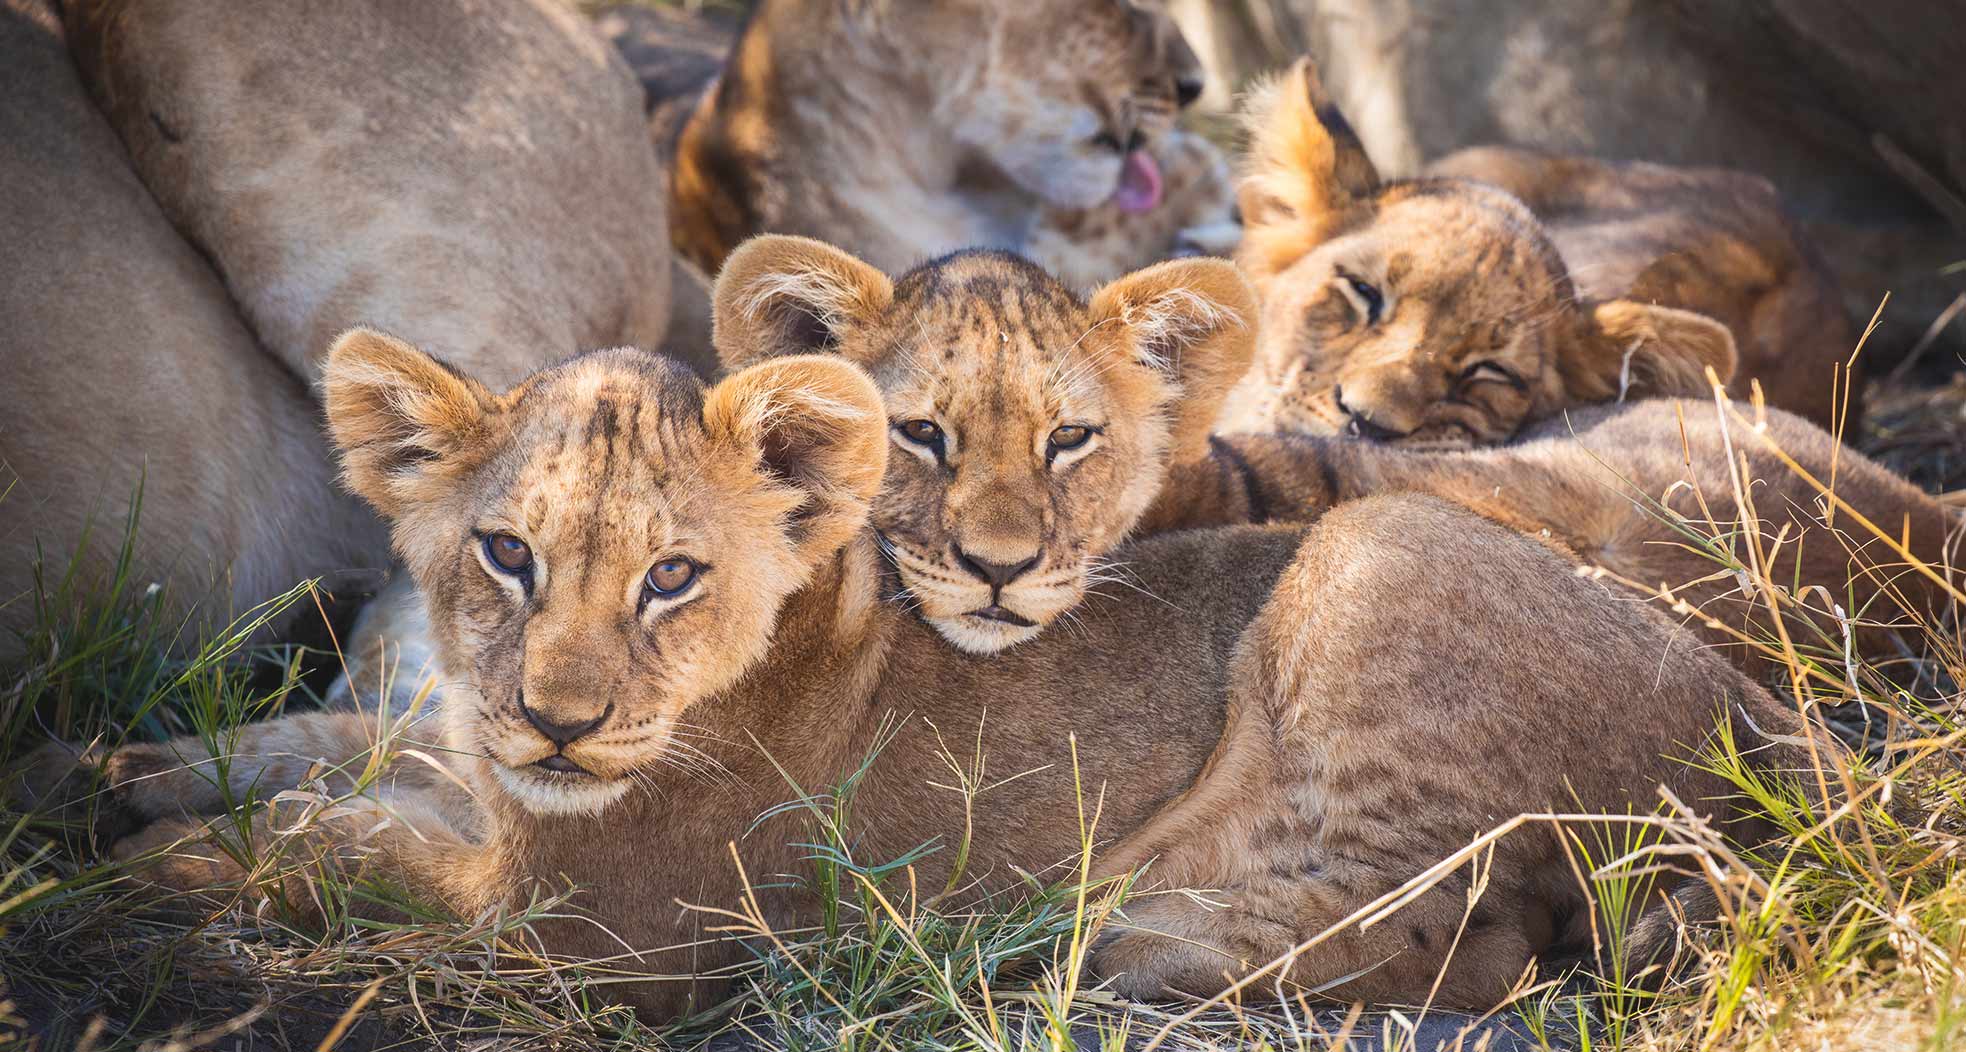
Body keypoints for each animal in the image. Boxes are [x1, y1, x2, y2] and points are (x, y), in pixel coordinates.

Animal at [64, 328, 1827, 1022]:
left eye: (672, 577)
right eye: (504, 556)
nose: (561, 723)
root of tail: (1765, 722)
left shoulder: (597, 939)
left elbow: (350, 857)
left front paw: (174, 867)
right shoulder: (479, 766)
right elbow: (354, 752)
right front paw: (138, 771)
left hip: (1371, 545)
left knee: (1451, 939)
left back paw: (1096, 936)